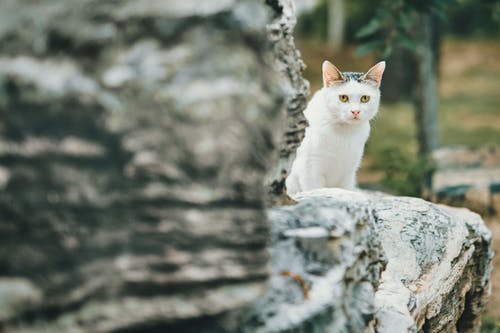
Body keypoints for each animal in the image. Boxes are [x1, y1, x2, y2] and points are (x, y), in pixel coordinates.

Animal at [286, 60, 386, 196]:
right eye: (343, 98)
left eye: (365, 98)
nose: (355, 111)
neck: (344, 132)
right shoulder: (309, 168)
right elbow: (314, 190)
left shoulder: (348, 173)